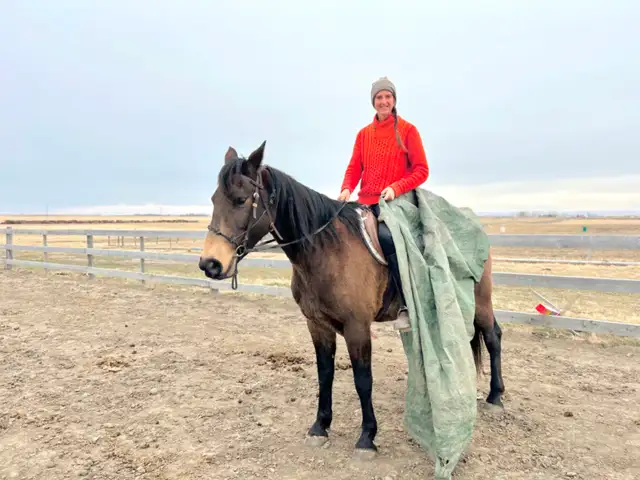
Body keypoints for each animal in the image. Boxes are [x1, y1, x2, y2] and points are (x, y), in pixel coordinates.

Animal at [198, 141, 505, 460]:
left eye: (241, 200)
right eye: (214, 199)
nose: (210, 264)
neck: (326, 251)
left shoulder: (357, 327)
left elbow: (362, 380)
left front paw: (367, 437)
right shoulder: (317, 325)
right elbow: (325, 374)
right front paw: (320, 426)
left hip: (481, 302)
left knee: (492, 336)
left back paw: (495, 396)